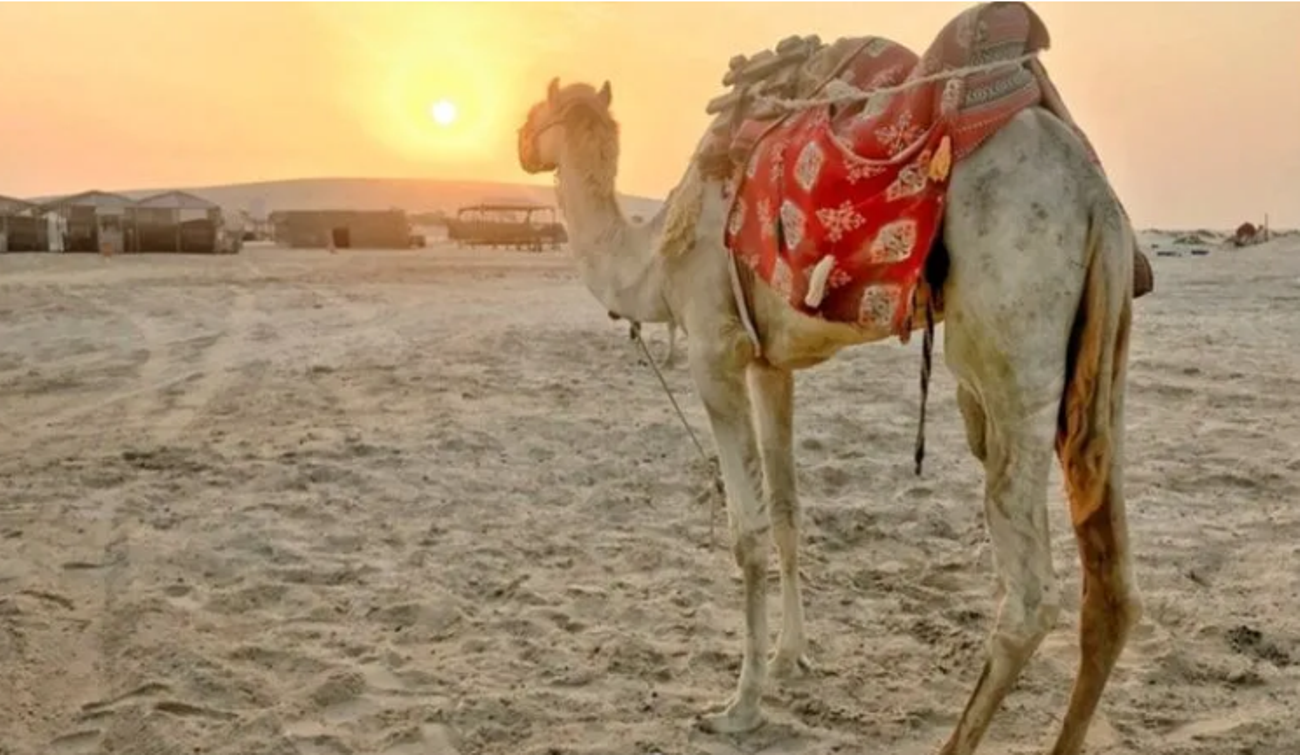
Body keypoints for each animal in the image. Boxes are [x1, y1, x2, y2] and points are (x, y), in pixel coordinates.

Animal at [517, 6, 1148, 752]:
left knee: (1028, 596)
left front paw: (740, 704)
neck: (651, 259)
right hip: (1101, 346)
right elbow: (789, 512)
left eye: (539, 111)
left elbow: (748, 533)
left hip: (1010, 337)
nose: (520, 143)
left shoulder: (714, 351)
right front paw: (791, 659)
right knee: (1112, 582)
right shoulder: (769, 364)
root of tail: (1094, 194)